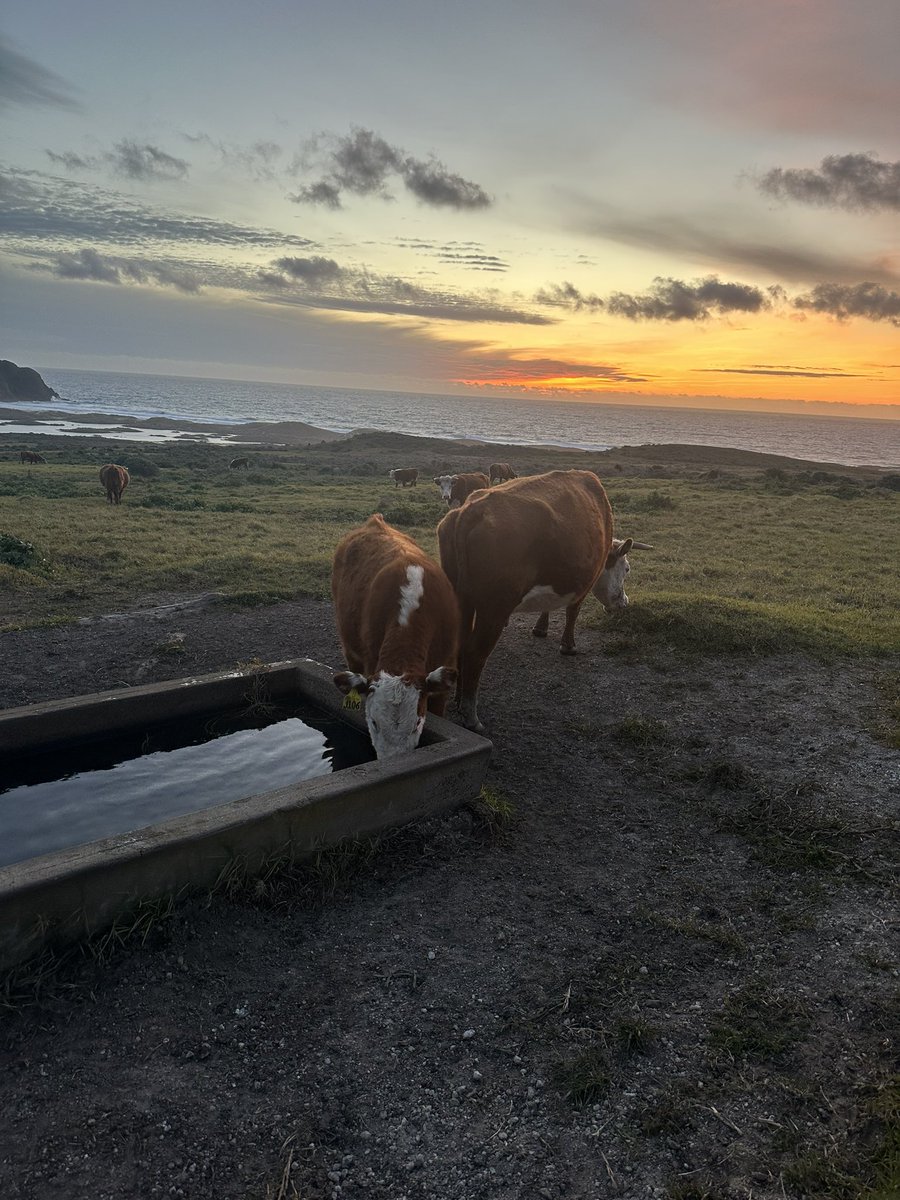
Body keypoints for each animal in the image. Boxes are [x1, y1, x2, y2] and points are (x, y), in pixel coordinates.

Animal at [437, 469, 650, 731]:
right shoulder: (585, 582)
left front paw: (541, 628)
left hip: (462, 599)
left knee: (460, 644)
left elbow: (548, 606)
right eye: (627, 568)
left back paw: (458, 698)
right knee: (475, 652)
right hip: (494, 610)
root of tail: (469, 511)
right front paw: (568, 645)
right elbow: (572, 611)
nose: (623, 602)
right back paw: (470, 714)